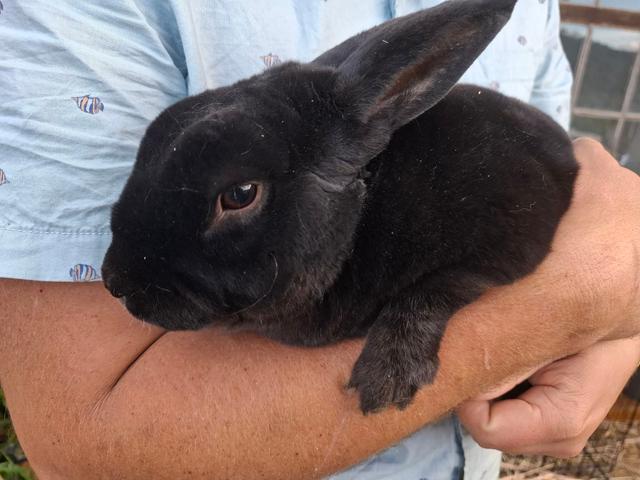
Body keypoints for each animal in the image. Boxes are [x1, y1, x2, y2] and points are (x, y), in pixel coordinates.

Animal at [102, 0, 578, 414]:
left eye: (239, 194)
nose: (114, 281)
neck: (364, 212)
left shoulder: (504, 245)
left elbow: (435, 289)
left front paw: (385, 380)